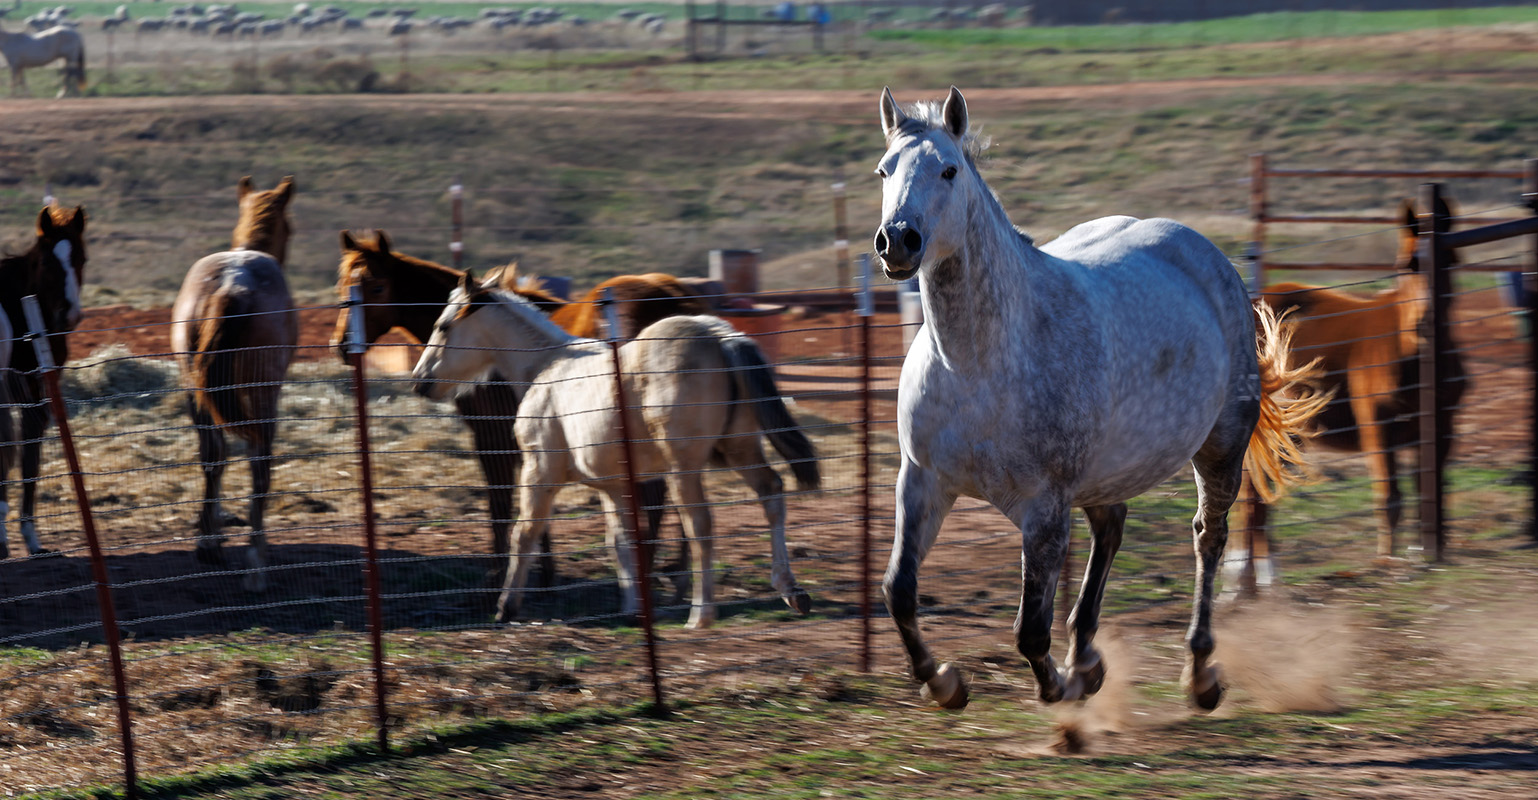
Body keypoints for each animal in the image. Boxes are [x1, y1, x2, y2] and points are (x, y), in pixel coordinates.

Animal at [170, 176, 298, 592]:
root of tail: (232, 285)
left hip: (195, 391)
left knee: (212, 456)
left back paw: (208, 544)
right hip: (262, 396)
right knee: (260, 463)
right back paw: (256, 563)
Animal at [331, 230, 711, 589]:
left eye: (376, 286)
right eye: (343, 285)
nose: (343, 345)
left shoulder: (493, 440)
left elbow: (500, 506)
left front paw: (499, 579)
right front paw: (543, 575)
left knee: (659, 498)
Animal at [411, 273, 820, 629]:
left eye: (444, 326)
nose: (419, 382)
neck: (545, 366)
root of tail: (721, 336)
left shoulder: (539, 471)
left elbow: (525, 533)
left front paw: (505, 607)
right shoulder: (614, 486)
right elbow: (622, 543)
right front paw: (633, 609)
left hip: (683, 467)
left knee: (700, 525)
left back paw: (700, 614)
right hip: (739, 450)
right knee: (772, 493)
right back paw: (791, 591)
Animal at [872, 87, 1328, 712]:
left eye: (949, 169)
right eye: (884, 170)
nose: (898, 240)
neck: (978, 363)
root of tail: (1209, 256)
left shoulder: (1043, 508)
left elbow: (1029, 629)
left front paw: (1058, 689)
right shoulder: (922, 481)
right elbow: (898, 590)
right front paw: (945, 683)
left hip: (1220, 449)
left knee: (1208, 538)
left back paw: (1199, 674)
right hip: (1107, 472)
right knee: (1112, 528)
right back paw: (1088, 659)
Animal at [1228, 197, 1468, 589]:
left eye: (1450, 259)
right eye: (1405, 265)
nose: (1425, 324)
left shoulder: (1438, 430)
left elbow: (1429, 491)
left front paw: (1424, 554)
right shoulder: (1378, 427)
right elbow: (1389, 496)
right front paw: (1386, 562)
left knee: (1259, 493)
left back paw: (1259, 579)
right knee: (1250, 494)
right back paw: (1243, 578)